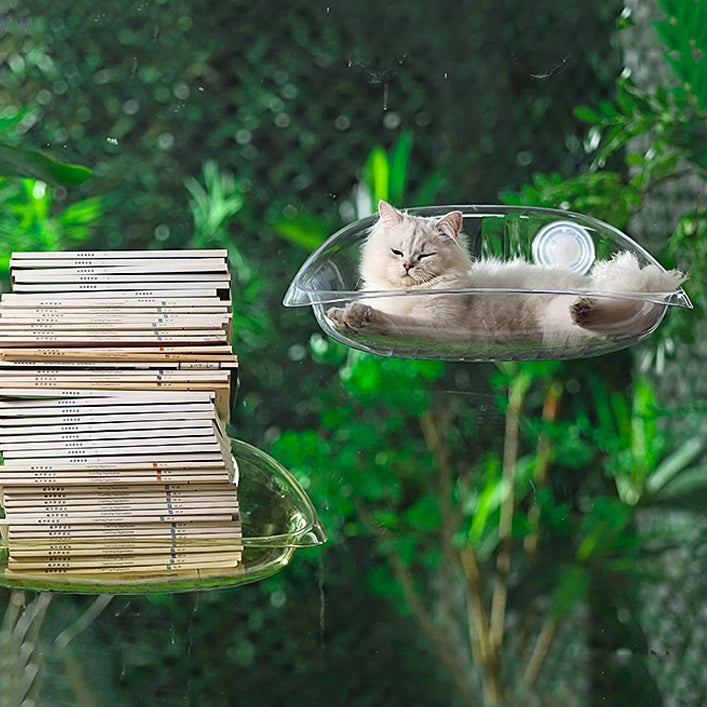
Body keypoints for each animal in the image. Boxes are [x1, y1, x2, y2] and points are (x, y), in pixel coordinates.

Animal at [326, 199, 684, 346]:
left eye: (424, 255)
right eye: (397, 252)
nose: (407, 265)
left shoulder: (436, 326)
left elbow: (390, 321)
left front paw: (359, 316)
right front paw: (339, 315)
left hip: (563, 316)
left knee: (617, 315)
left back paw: (584, 309)